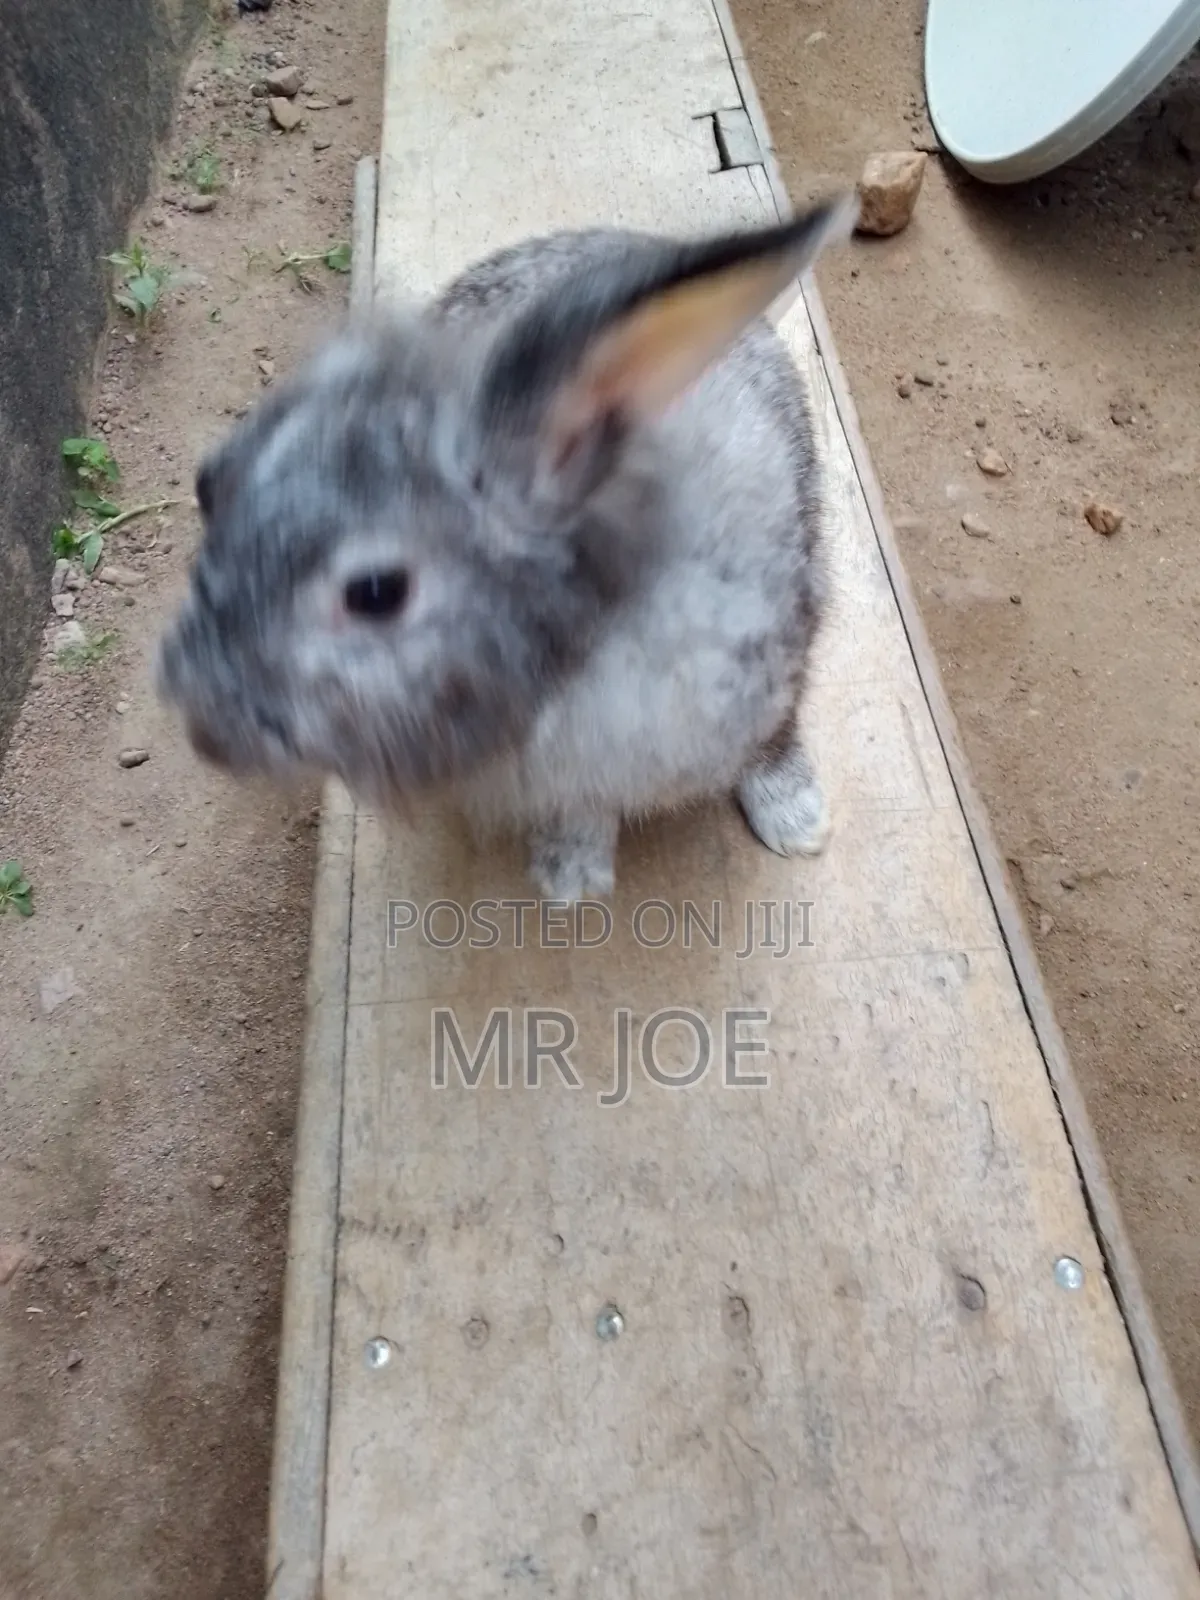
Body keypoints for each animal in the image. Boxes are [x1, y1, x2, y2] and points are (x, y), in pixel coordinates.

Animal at [155, 194, 858, 901]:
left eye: (376, 592)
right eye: (208, 485)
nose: (197, 721)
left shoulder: (779, 659)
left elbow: (775, 739)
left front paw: (799, 822)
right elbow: (580, 808)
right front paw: (570, 879)